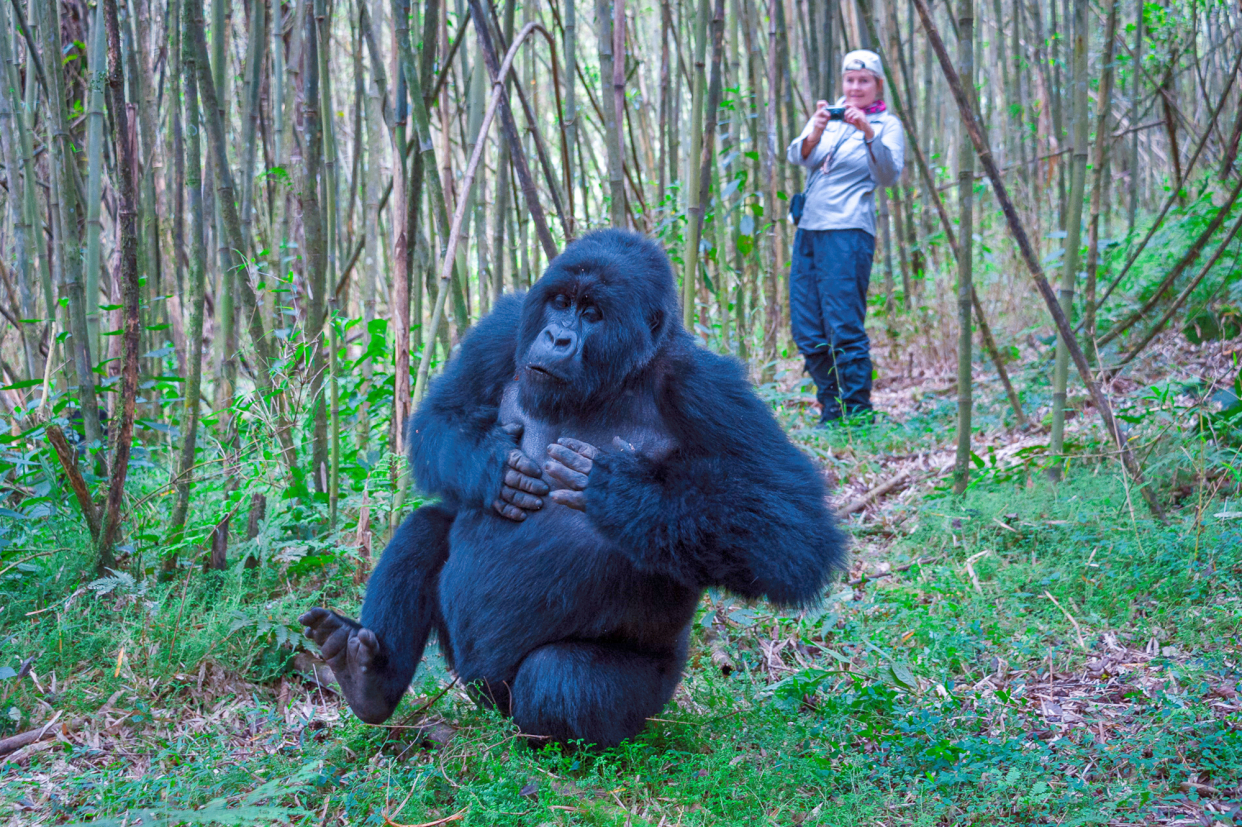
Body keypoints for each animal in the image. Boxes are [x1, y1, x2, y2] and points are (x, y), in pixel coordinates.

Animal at [300, 228, 844, 745]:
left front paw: (621, 490)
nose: (558, 337)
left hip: (646, 694)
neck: (617, 377)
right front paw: (492, 464)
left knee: (558, 678)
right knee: (428, 525)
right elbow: (440, 416)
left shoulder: (707, 386)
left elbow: (793, 531)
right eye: (561, 303)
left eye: (592, 313)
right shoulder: (505, 327)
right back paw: (369, 679)